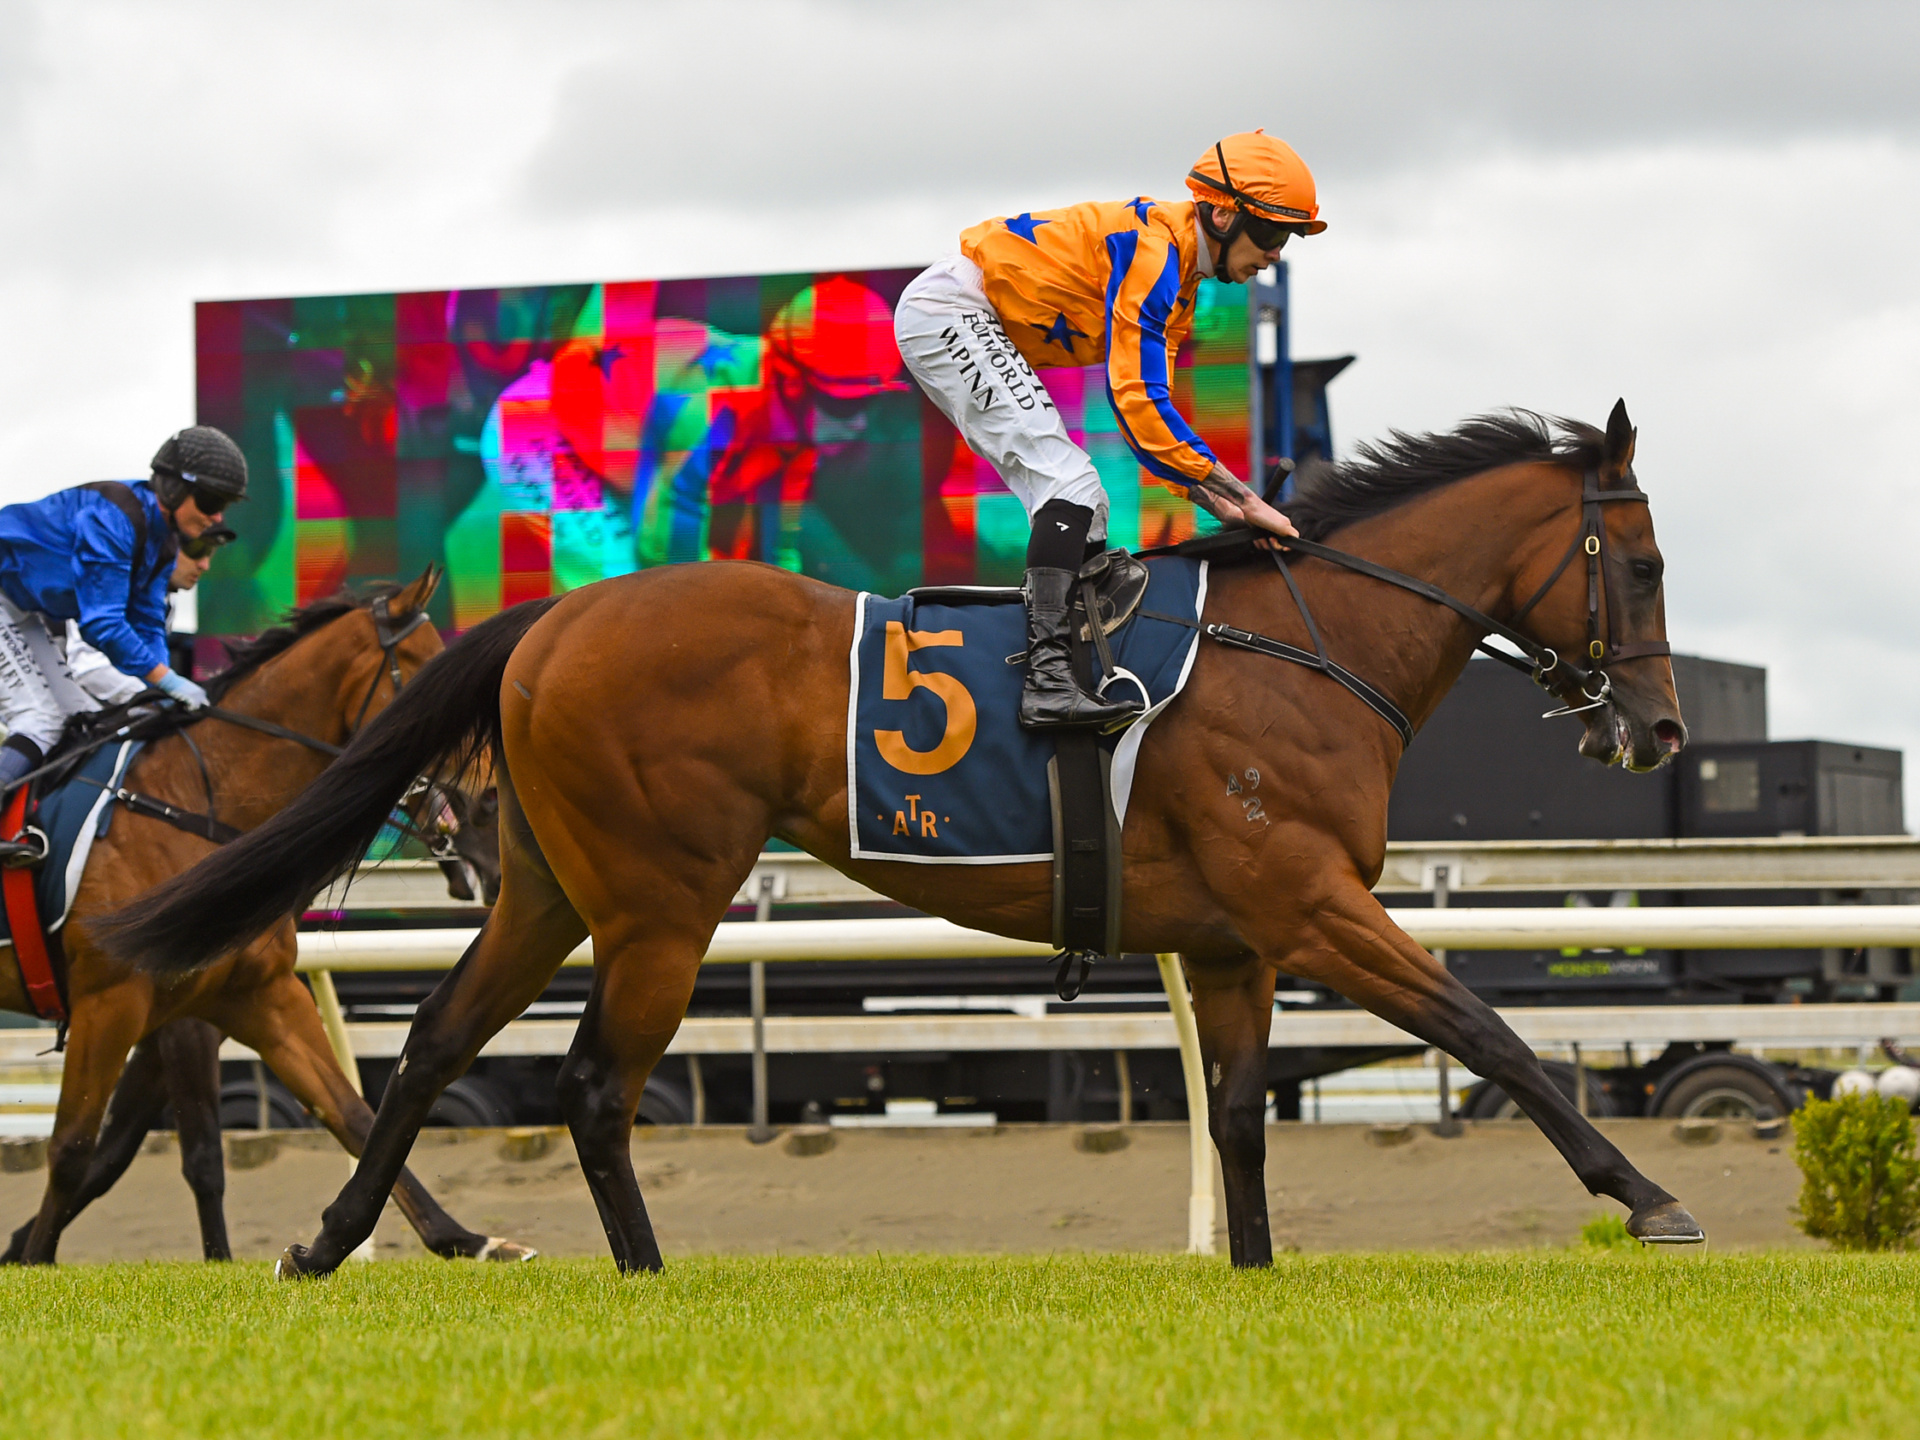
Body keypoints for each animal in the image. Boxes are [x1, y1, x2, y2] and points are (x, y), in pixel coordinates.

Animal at [2, 569, 529, 1265]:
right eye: (427, 675)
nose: (494, 800)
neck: (193, 803)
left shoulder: (256, 996)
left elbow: (351, 1115)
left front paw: (462, 1237)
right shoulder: (116, 1001)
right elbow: (78, 1151)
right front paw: (35, 1258)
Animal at [104, 402, 1703, 1275]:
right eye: (1641, 565)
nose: (1659, 733)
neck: (1306, 646)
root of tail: (552, 614)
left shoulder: (1232, 942)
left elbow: (1242, 1113)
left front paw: (1252, 1276)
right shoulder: (1310, 904)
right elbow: (1489, 1032)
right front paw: (1648, 1199)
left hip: (552, 888)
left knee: (434, 1045)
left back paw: (326, 1244)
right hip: (664, 900)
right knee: (593, 1084)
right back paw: (645, 1274)